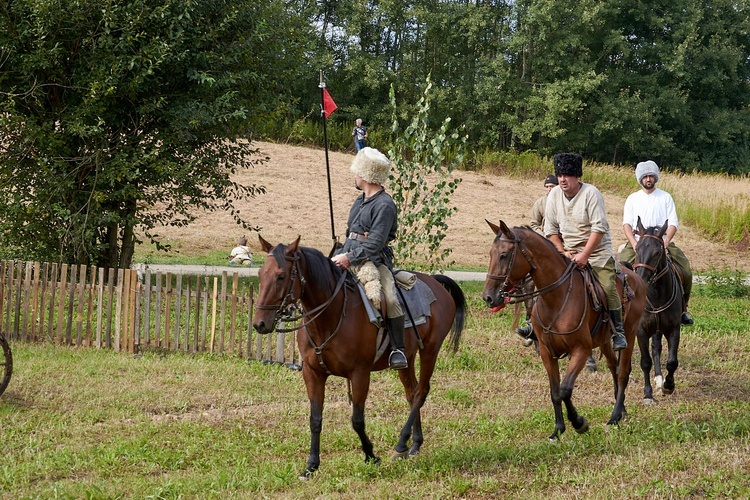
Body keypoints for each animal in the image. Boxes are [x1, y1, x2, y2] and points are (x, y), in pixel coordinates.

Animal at [253, 236, 464, 478]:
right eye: (261, 273)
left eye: (281, 276)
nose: (259, 323)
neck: (331, 315)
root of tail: (435, 282)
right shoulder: (312, 373)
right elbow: (315, 420)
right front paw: (311, 465)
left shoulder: (360, 374)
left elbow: (357, 420)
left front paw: (371, 455)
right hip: (407, 358)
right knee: (412, 392)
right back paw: (414, 444)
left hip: (430, 350)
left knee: (421, 392)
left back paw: (401, 443)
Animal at [484, 221, 648, 440]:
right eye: (491, 254)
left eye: (504, 254)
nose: (488, 297)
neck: (557, 298)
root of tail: (635, 277)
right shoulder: (546, 352)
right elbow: (555, 392)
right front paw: (558, 429)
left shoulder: (581, 350)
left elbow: (565, 390)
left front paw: (579, 423)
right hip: (605, 341)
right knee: (613, 367)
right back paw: (621, 411)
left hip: (629, 333)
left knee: (622, 373)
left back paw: (614, 417)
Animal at [636, 217, 684, 404]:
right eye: (637, 248)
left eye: (657, 252)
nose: (641, 280)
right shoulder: (641, 331)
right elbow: (645, 362)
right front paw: (648, 395)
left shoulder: (673, 329)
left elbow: (672, 361)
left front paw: (668, 385)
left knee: (656, 348)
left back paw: (659, 378)